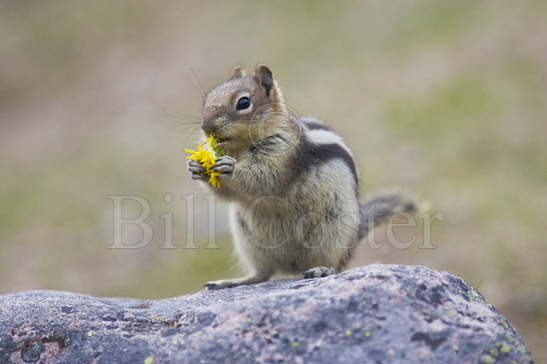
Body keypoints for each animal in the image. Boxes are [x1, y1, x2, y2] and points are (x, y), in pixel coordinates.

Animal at [188, 64, 416, 288]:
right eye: (207, 99)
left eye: (243, 102)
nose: (206, 127)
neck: (241, 148)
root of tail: (294, 266)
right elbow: (230, 193)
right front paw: (196, 166)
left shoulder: (282, 153)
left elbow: (264, 179)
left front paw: (230, 167)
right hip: (248, 241)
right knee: (263, 273)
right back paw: (232, 281)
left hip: (332, 233)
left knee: (334, 265)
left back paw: (322, 269)